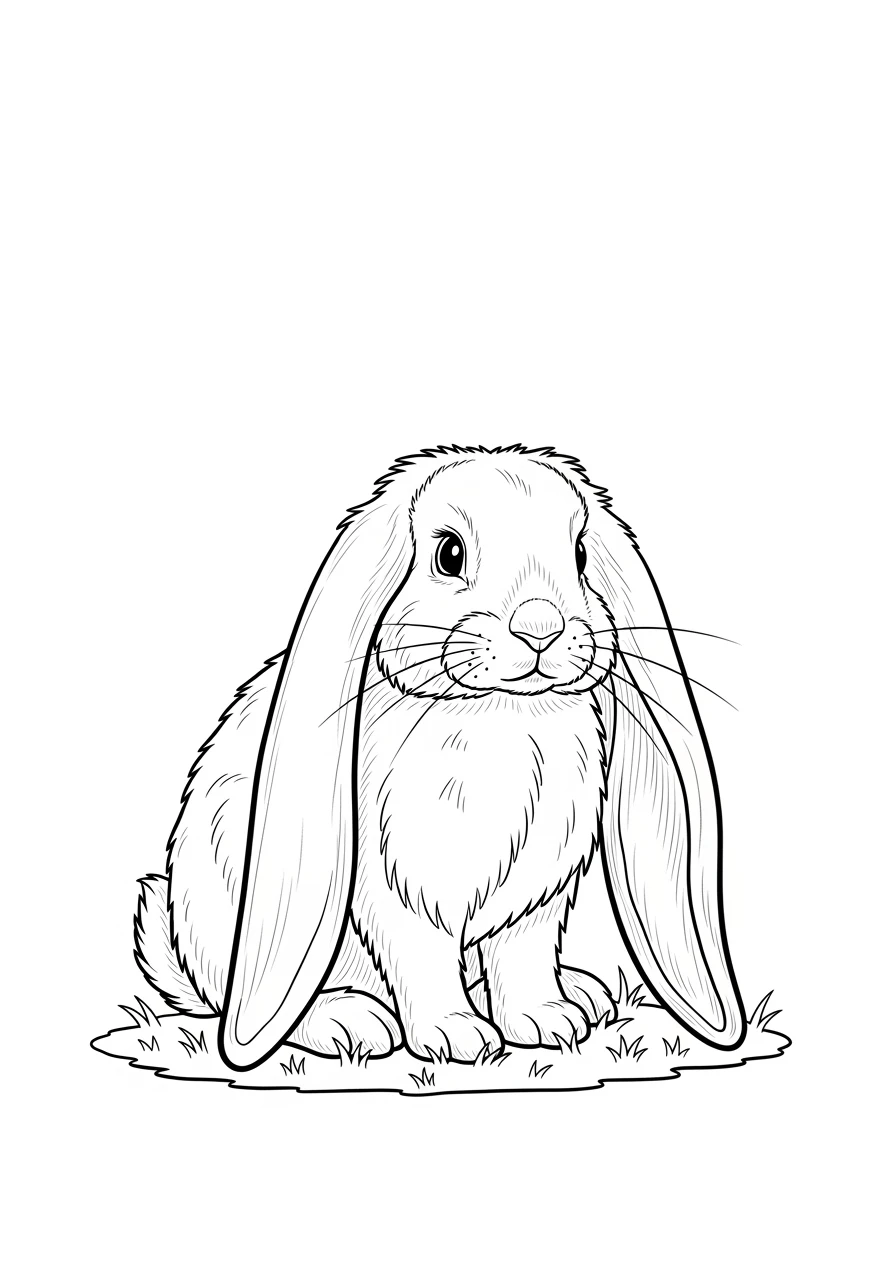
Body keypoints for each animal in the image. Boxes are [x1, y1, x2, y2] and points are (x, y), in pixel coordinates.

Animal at [135, 445, 746, 1070]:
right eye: (449, 554)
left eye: (579, 554)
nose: (541, 629)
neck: (500, 715)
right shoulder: (396, 891)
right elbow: (422, 962)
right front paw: (458, 1038)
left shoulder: (535, 896)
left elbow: (521, 961)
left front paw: (548, 1023)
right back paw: (348, 1024)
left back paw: (583, 992)